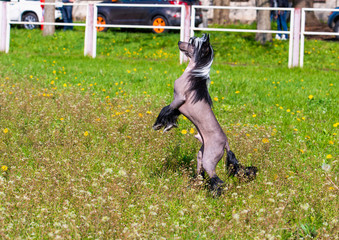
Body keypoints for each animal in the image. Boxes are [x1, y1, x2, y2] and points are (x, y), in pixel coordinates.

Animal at [153, 33, 258, 195]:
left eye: (192, 43)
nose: (179, 42)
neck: (192, 73)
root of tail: (226, 143)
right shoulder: (178, 106)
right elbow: (171, 114)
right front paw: (168, 126)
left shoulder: (178, 99)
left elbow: (165, 110)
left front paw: (159, 125)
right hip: (201, 155)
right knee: (200, 172)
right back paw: (196, 186)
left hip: (209, 159)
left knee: (216, 178)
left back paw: (215, 194)